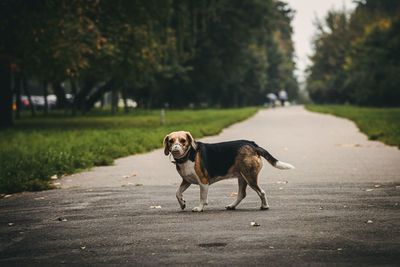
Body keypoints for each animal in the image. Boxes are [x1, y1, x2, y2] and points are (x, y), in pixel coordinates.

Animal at [163, 131, 294, 213]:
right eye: (170, 141)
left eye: (183, 140)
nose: (175, 149)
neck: (189, 155)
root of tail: (253, 144)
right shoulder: (186, 181)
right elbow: (177, 193)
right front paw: (182, 203)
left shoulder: (203, 182)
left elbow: (202, 198)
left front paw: (199, 208)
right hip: (242, 177)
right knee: (242, 194)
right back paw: (232, 206)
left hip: (250, 177)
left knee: (261, 192)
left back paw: (265, 206)